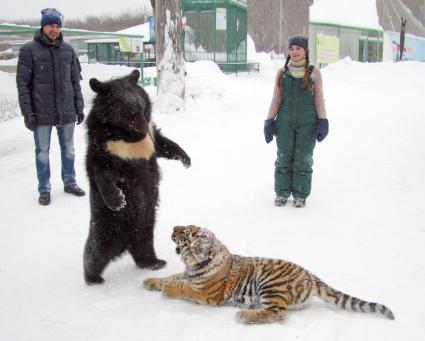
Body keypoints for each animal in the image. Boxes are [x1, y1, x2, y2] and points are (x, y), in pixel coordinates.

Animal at [83, 69, 190, 284]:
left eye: (140, 107)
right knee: (94, 252)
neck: (129, 137)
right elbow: (103, 171)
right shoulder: (105, 145)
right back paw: (93, 278)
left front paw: (186, 159)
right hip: (104, 227)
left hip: (146, 224)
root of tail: (125, 242)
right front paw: (118, 200)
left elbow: (164, 144)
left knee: (144, 245)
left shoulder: (151, 134)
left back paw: (155, 262)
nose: (141, 128)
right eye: (127, 112)